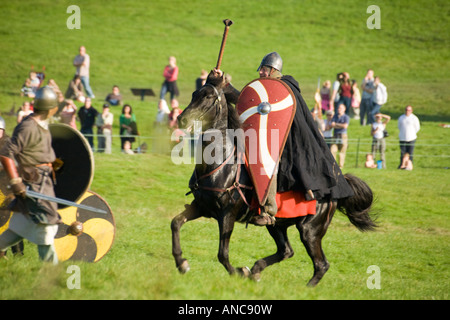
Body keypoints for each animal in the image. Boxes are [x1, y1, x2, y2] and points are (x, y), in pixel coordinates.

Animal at [171, 73, 374, 288]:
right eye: (194, 94)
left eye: (209, 97)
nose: (182, 120)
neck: (219, 163)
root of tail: (336, 190)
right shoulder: (201, 206)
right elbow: (176, 223)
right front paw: (181, 263)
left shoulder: (227, 215)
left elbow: (222, 254)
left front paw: (238, 272)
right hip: (277, 225)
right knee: (286, 251)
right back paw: (256, 270)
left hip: (310, 230)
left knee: (321, 264)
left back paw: (303, 288)